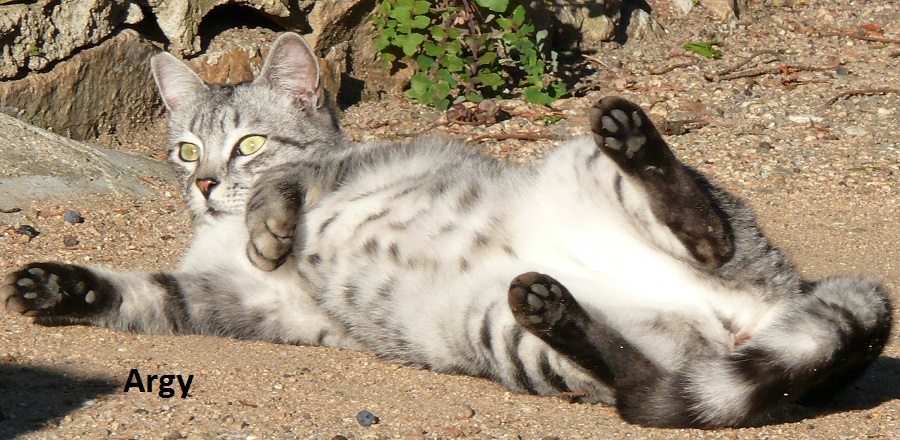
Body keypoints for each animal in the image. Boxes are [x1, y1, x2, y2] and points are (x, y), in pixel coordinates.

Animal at [3, 32, 892, 428]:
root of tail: (779, 301)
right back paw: (555, 304)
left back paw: (635, 139)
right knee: (642, 391)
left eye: (248, 144)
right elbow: (140, 293)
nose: (207, 183)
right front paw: (56, 284)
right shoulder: (220, 299)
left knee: (706, 233)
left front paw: (269, 223)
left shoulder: (359, 166)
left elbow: (292, 184)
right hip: (503, 333)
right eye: (185, 149)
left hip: (583, 166)